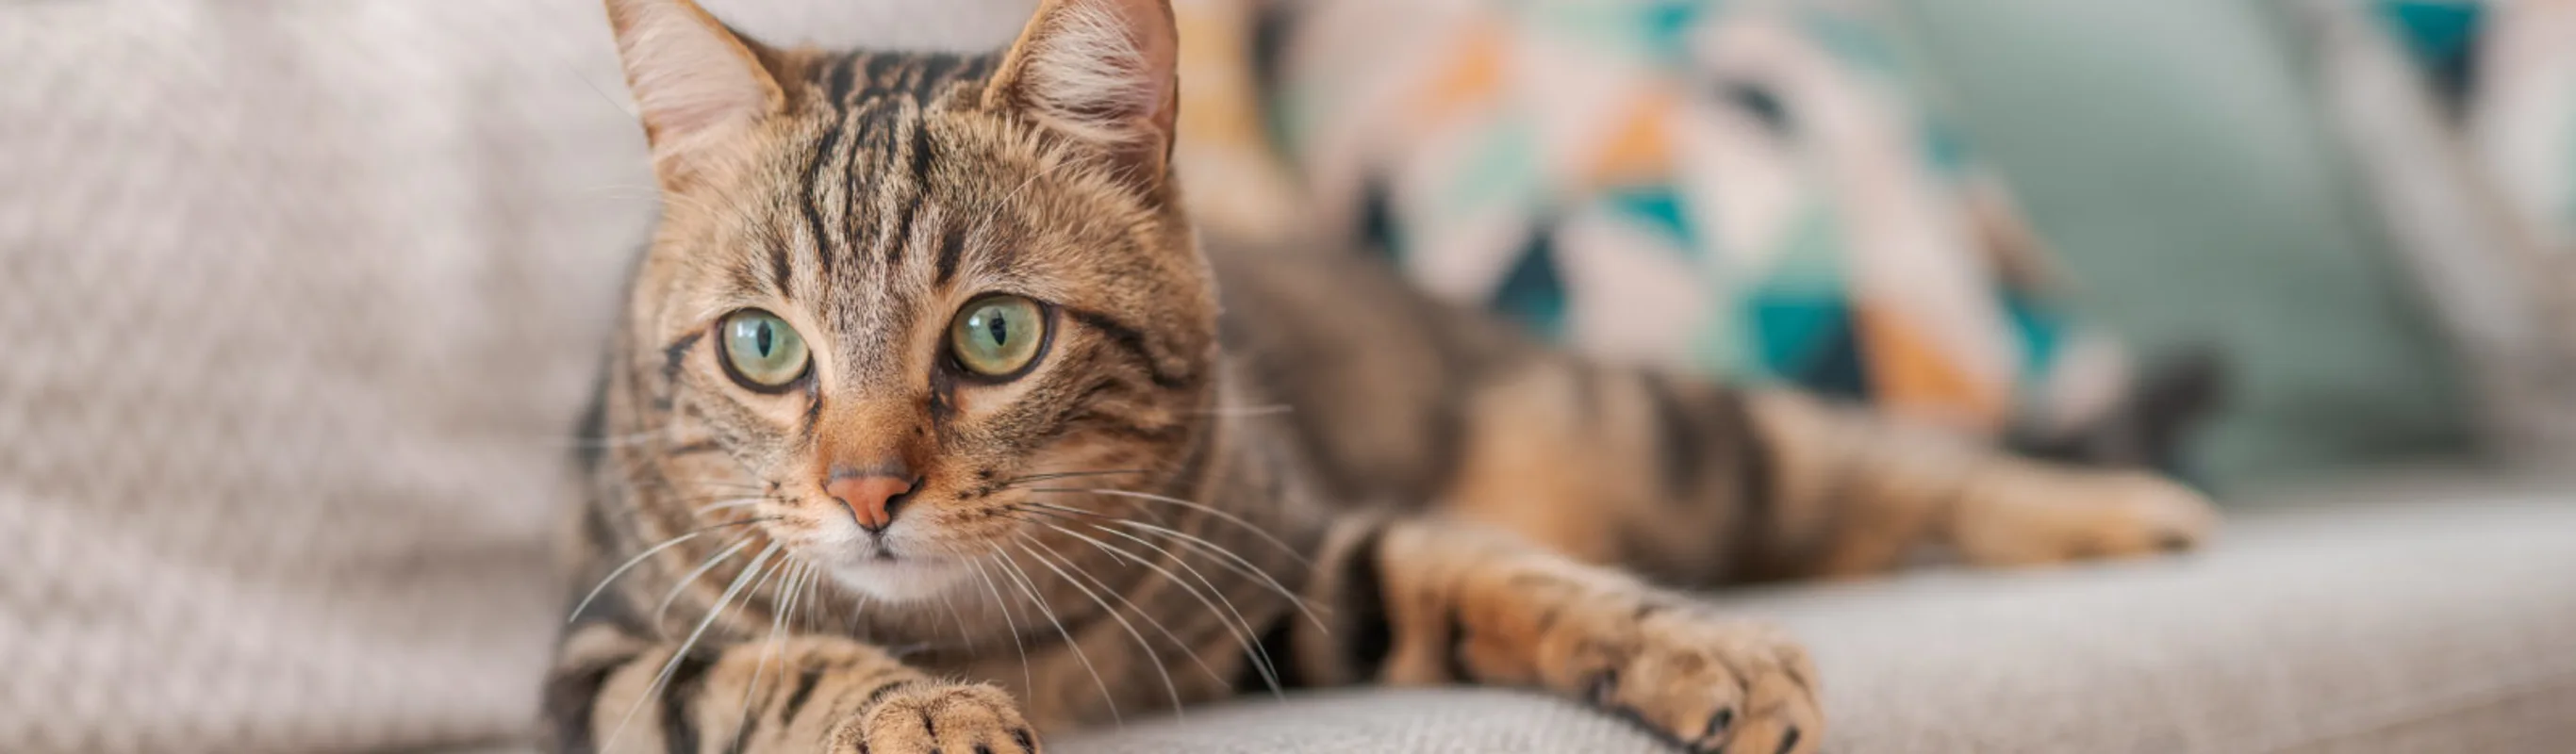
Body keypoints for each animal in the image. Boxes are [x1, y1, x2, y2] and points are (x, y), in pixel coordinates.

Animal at [548, 1, 2215, 751]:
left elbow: (1495, 571)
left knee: (1877, 463)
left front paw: (1695, 648)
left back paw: (2118, 511)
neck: (981, 630)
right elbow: (762, 662)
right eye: (764, 348)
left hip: (1656, 427)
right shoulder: (593, 667)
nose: (866, 492)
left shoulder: (1296, 564)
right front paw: (914, 714)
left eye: (996, 336)